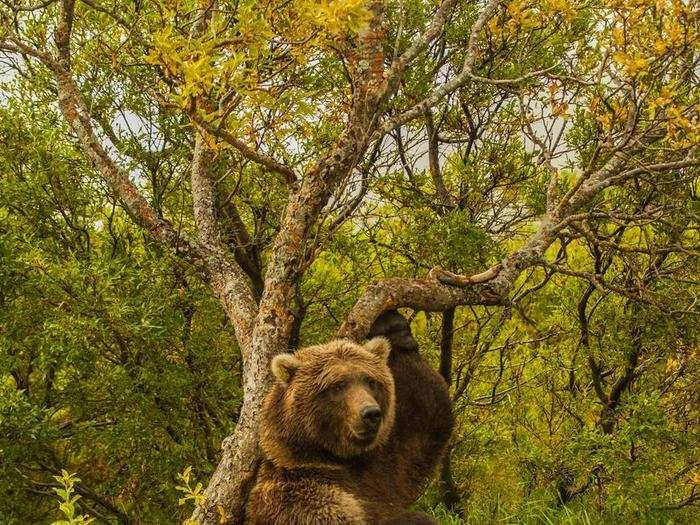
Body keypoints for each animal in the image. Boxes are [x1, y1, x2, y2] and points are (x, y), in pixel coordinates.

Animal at [246, 310, 454, 520]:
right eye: (337, 386)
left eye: (370, 381)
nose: (371, 413)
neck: (339, 459)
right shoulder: (302, 494)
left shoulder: (386, 464)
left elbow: (427, 417)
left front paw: (393, 326)